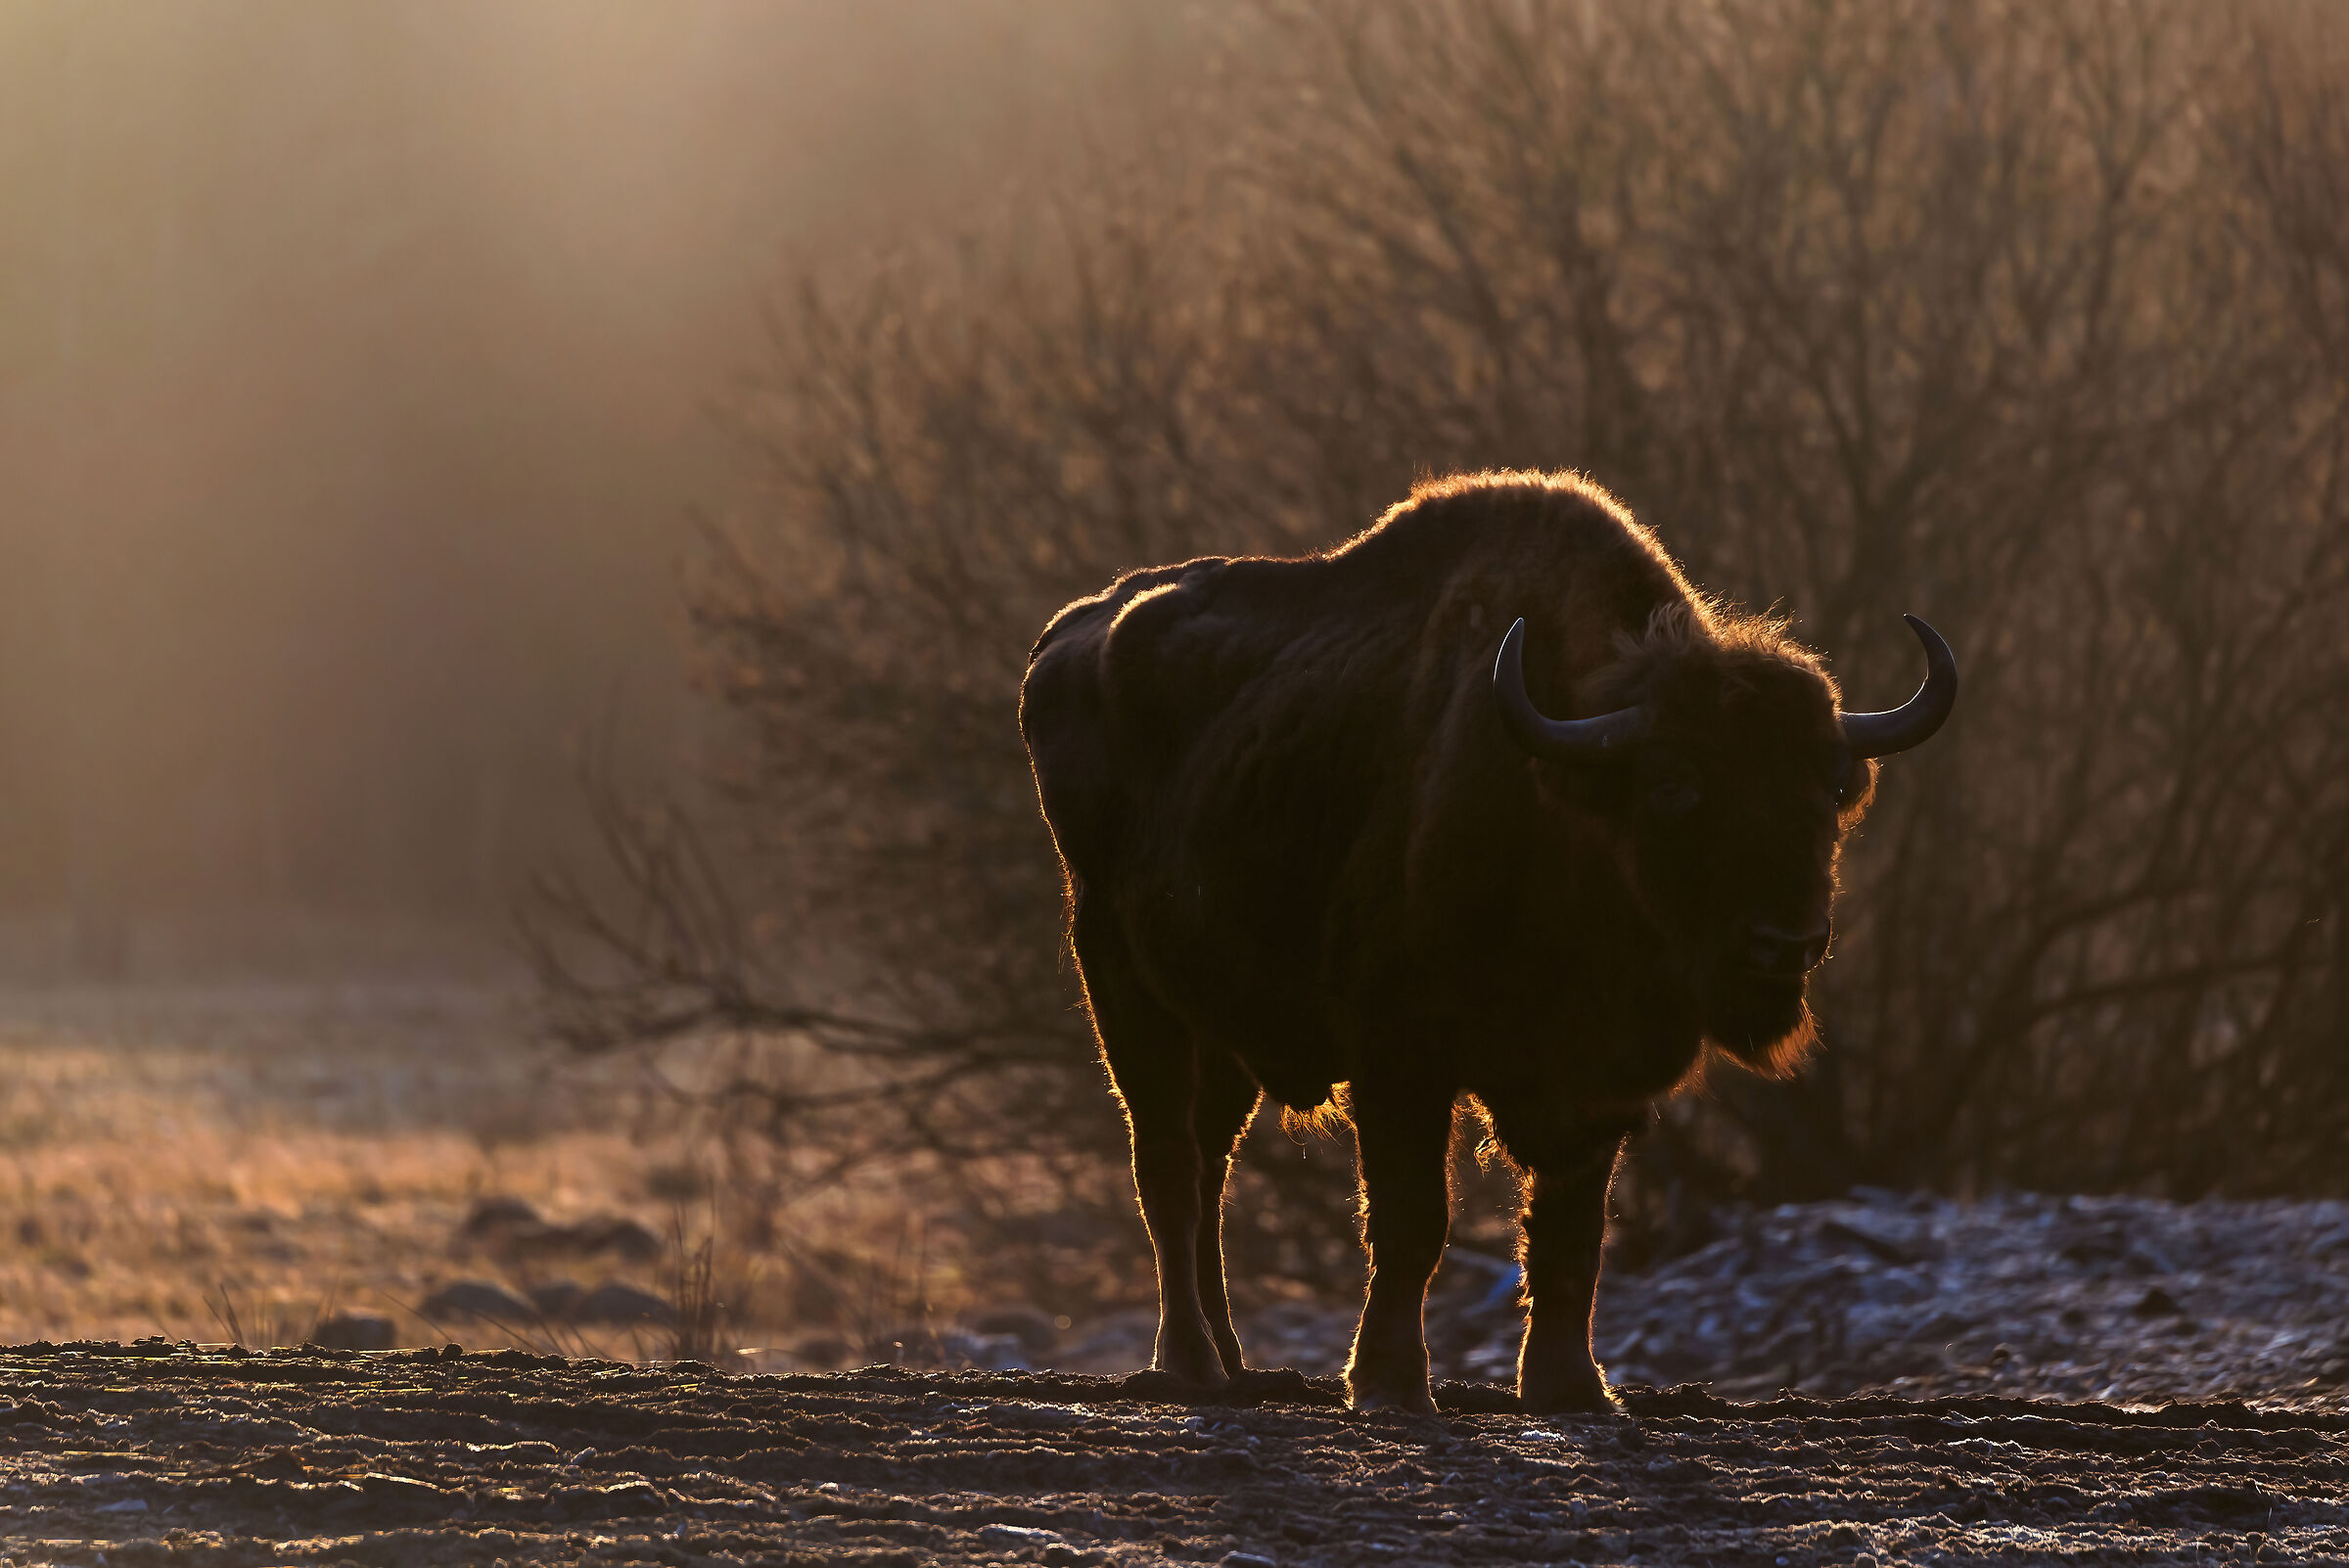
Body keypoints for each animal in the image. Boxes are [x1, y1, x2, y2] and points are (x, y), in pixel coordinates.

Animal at [1019, 470, 1955, 1412]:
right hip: (1122, 984)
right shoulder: (1401, 1058)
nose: (1782, 942)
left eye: (1830, 785)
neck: (1563, 805)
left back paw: (1237, 1363)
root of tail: (1067, 638)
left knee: (1211, 1164)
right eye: (1671, 784)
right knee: (1168, 1167)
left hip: (1219, 1029)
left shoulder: (1598, 1089)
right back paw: (1190, 1365)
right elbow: (1413, 1220)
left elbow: (1570, 1235)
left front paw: (1572, 1387)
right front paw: (1391, 1383)